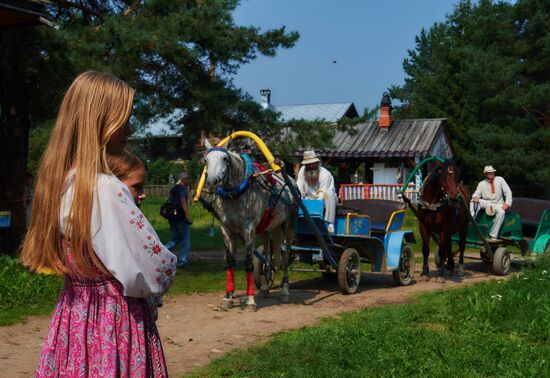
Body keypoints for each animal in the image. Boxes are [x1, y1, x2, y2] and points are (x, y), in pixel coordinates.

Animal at [204, 138, 298, 310]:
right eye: (205, 160)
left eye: (225, 159)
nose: (211, 183)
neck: (235, 194)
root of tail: (291, 183)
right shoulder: (226, 230)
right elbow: (229, 263)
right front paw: (228, 297)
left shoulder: (248, 230)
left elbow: (248, 264)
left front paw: (250, 301)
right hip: (265, 229)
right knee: (268, 255)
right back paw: (265, 288)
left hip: (288, 226)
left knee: (285, 255)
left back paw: (285, 291)